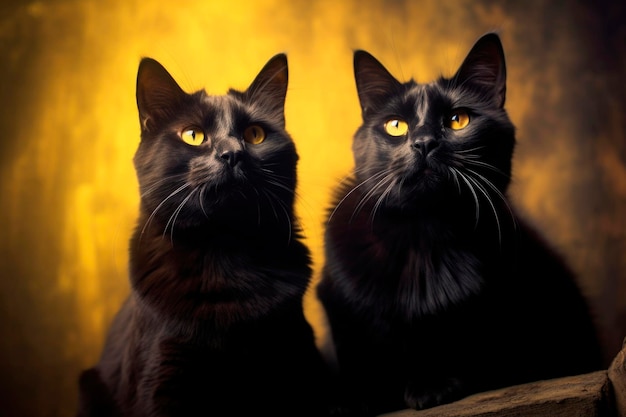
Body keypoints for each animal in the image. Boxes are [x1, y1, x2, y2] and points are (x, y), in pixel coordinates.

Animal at [77, 53, 336, 414]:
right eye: (193, 135)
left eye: (255, 134)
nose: (232, 154)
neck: (224, 251)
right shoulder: (161, 376)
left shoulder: (298, 356)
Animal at [314, 32, 604, 412]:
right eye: (396, 126)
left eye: (458, 120)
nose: (423, 143)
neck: (424, 237)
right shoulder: (337, 299)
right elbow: (361, 354)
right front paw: (356, 400)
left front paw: (432, 386)